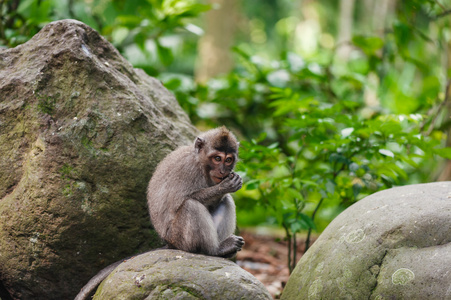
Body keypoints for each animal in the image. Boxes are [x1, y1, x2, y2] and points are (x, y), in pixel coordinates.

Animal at [75, 126, 244, 300]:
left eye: (228, 160)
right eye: (217, 158)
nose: (223, 171)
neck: (201, 164)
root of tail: (169, 242)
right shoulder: (187, 169)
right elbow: (181, 200)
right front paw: (224, 187)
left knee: (226, 200)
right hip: (178, 237)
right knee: (190, 205)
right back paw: (213, 250)